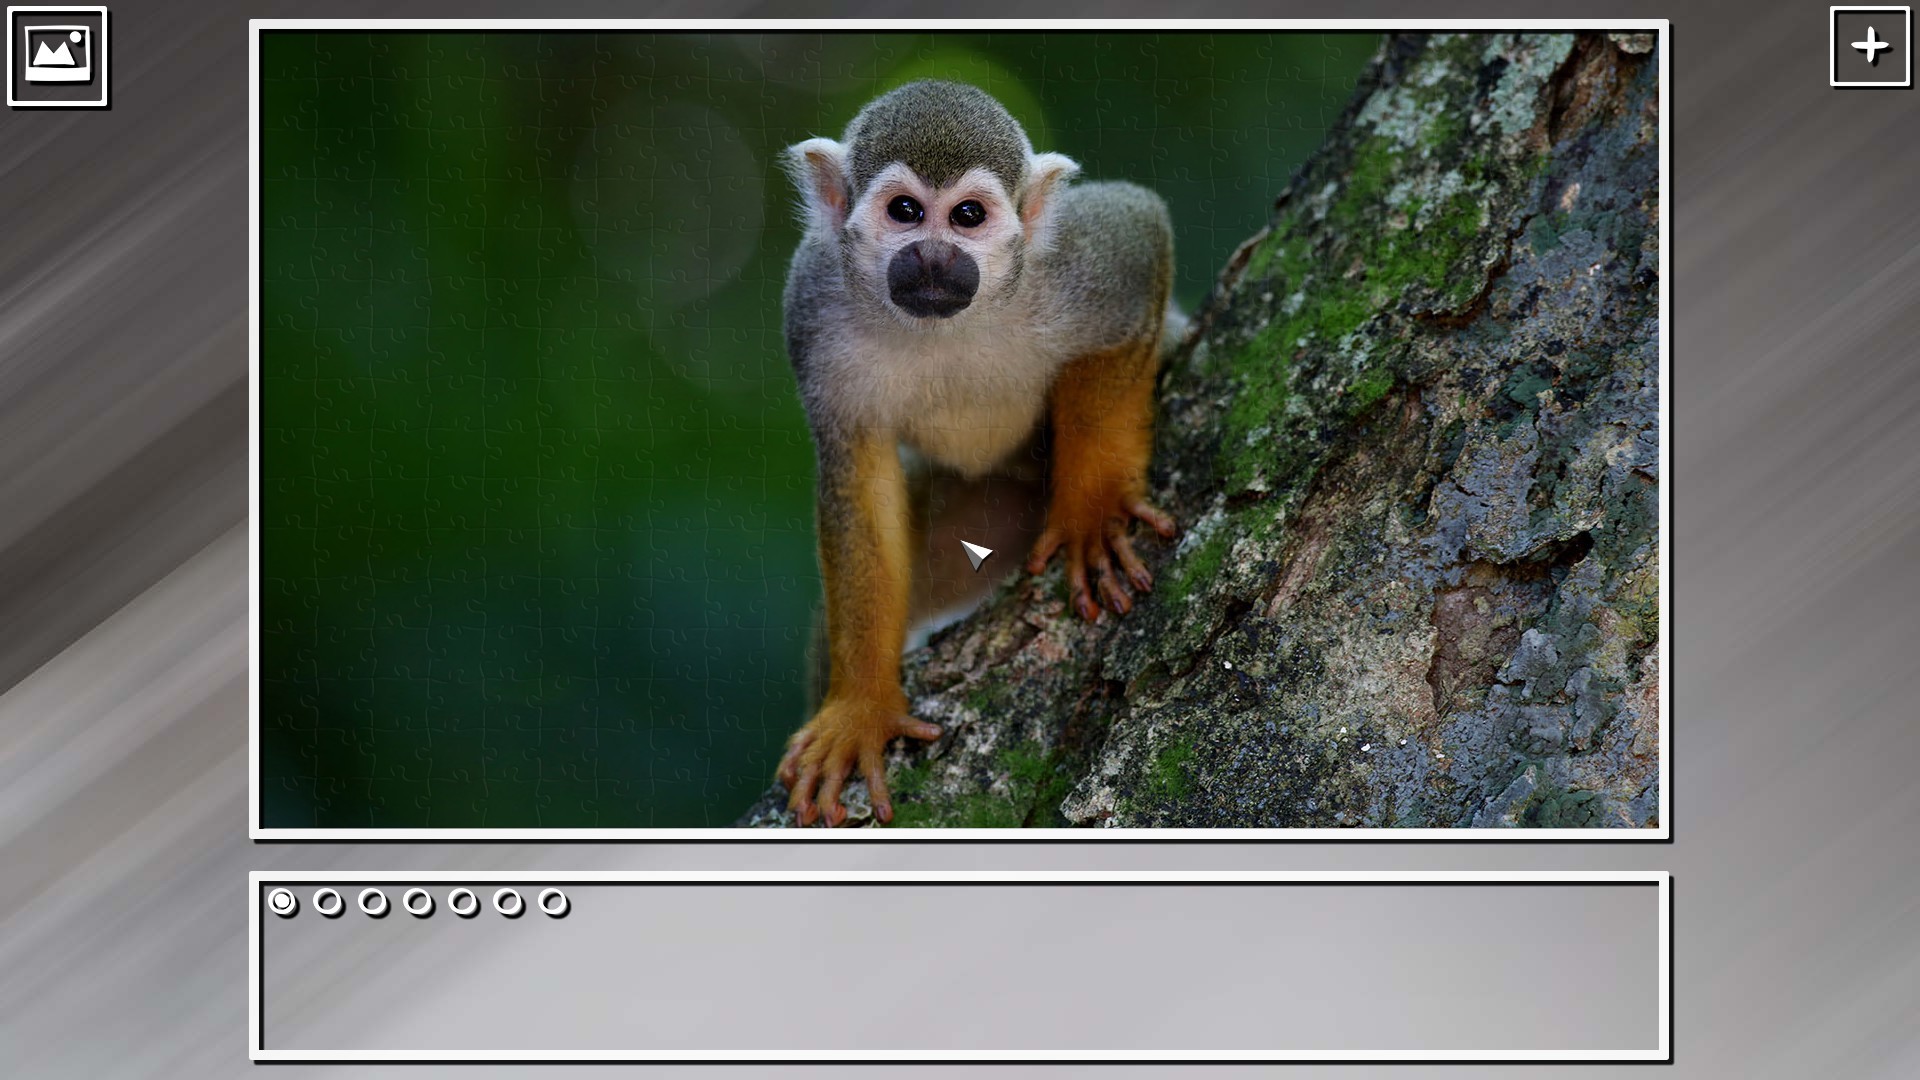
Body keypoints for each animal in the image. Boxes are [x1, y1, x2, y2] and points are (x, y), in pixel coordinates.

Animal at [775, 80, 1180, 826]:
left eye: (968, 216)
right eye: (905, 212)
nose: (935, 259)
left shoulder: (1074, 264)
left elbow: (1140, 232)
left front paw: (1092, 512)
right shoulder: (811, 304)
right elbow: (858, 479)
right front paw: (861, 706)